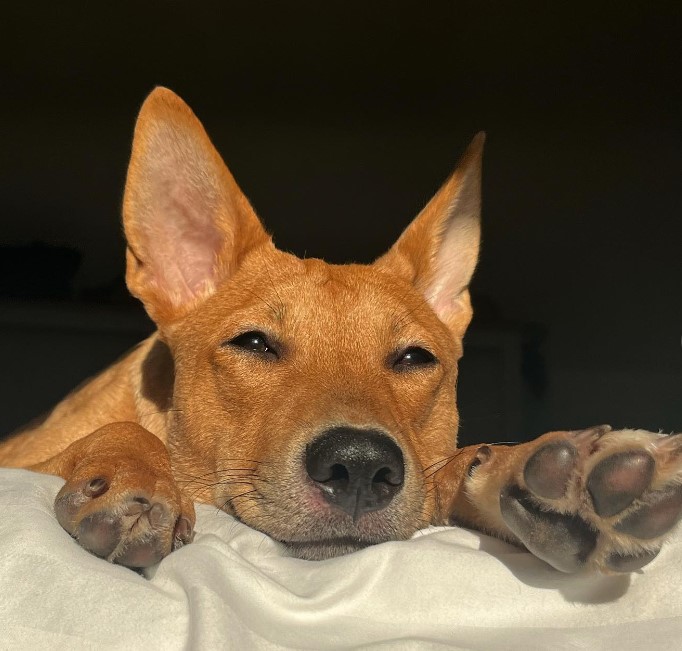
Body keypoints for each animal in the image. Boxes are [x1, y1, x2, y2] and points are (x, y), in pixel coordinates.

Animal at [2, 88, 676, 576]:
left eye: (413, 358)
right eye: (253, 344)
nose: (358, 466)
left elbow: (457, 466)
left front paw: (539, 474)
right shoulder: (23, 453)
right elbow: (114, 433)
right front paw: (136, 476)